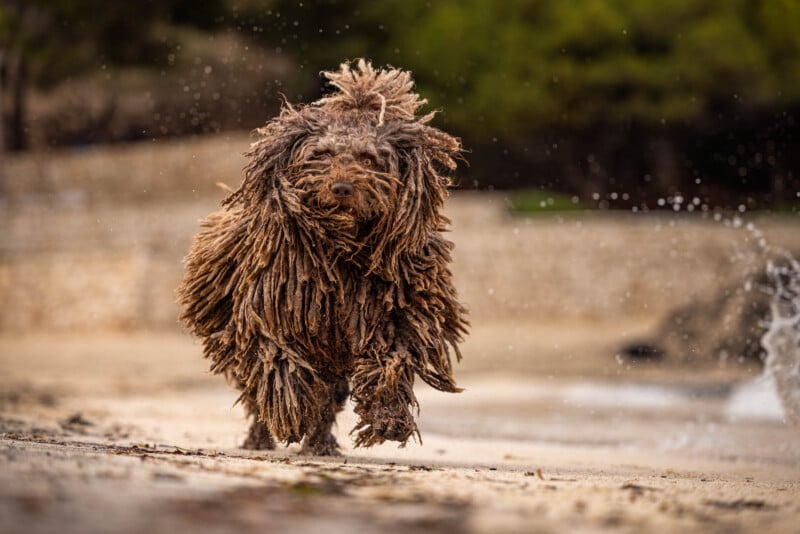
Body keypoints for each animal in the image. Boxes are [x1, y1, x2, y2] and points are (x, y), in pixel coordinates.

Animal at [178, 59, 466, 456]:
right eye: (321, 155)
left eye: (369, 159)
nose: (342, 188)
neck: (340, 251)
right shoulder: (269, 310)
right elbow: (278, 363)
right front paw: (292, 414)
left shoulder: (394, 314)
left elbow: (390, 360)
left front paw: (389, 417)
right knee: (259, 393)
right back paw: (262, 438)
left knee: (329, 398)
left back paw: (320, 443)